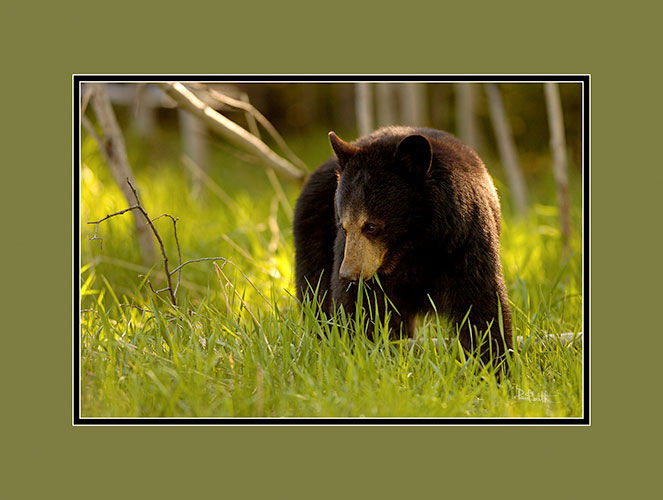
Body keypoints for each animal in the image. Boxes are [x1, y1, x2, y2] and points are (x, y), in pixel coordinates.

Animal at [293, 126, 512, 362]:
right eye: (343, 226)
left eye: (371, 226)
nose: (348, 274)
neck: (413, 247)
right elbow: (360, 308)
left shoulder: (464, 241)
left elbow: (480, 304)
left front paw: (493, 361)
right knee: (314, 289)